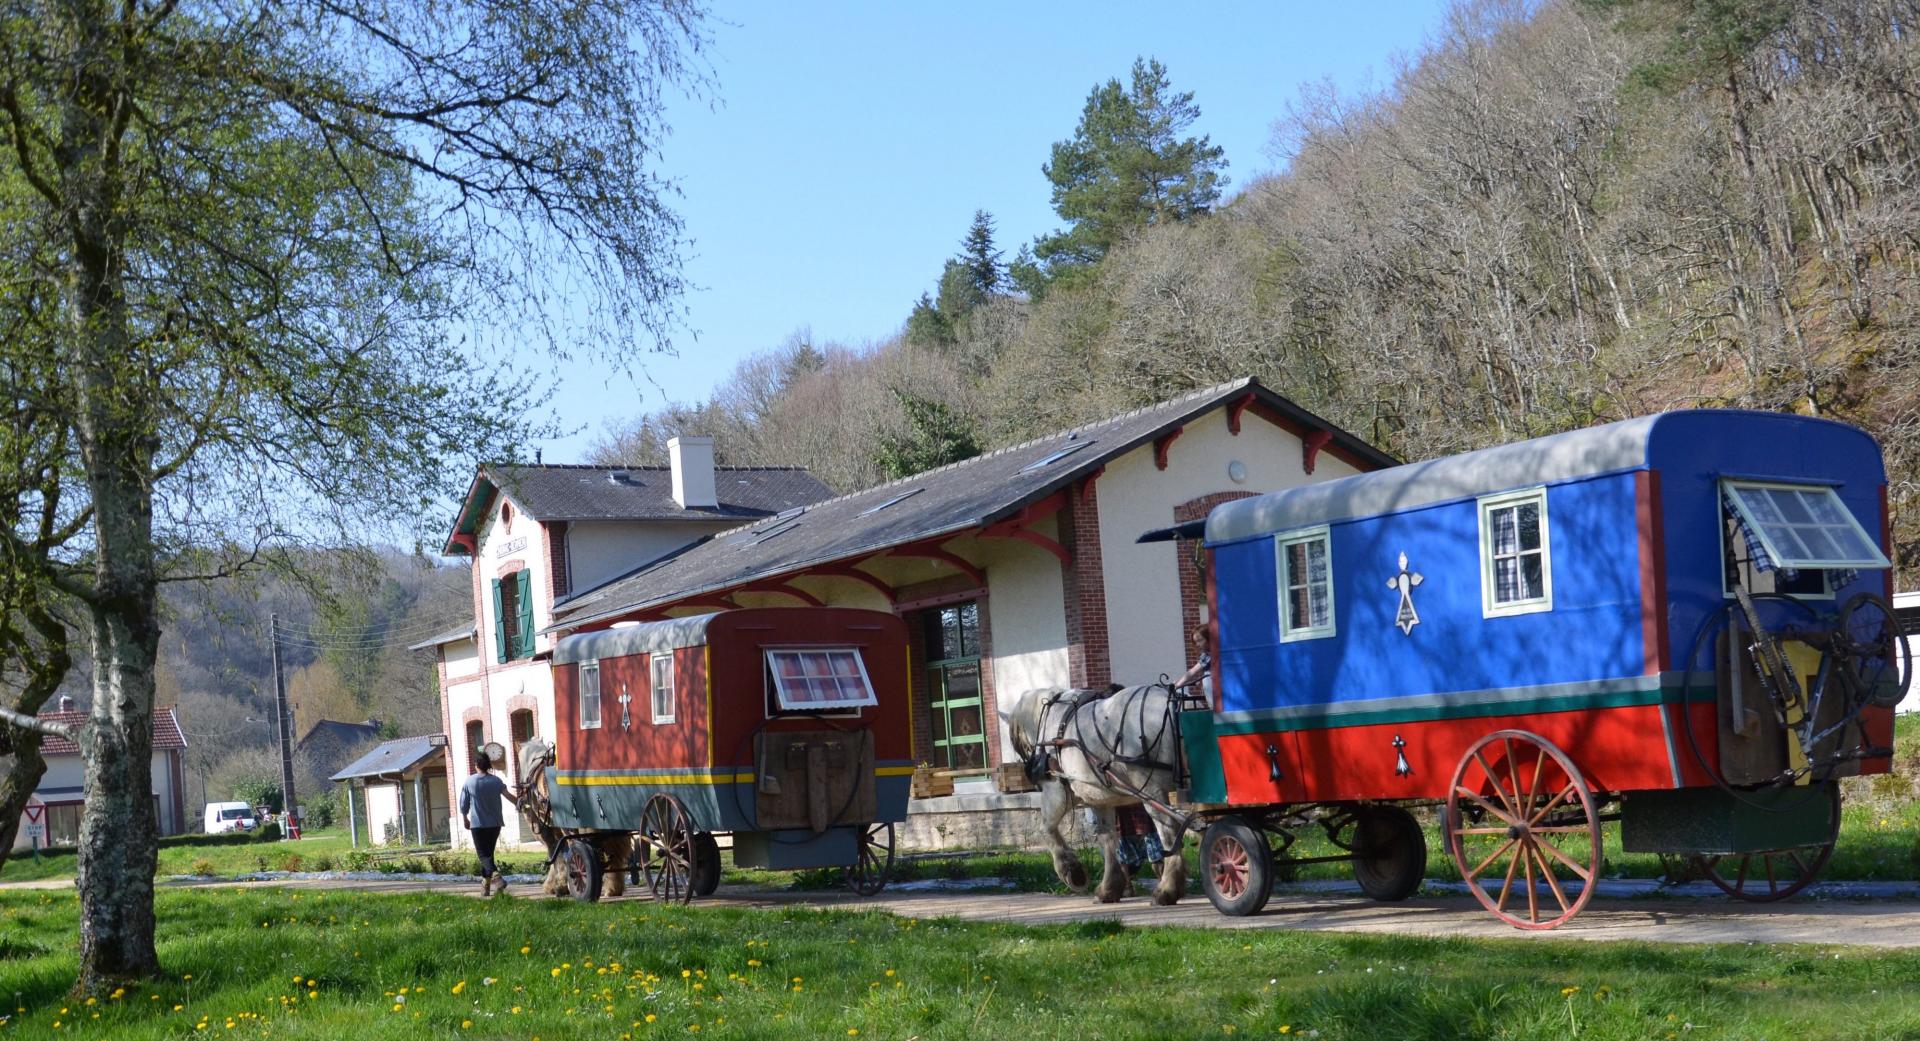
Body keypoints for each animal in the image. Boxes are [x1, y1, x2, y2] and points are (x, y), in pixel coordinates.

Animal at [998, 676, 1190, 906]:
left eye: (1021, 746)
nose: (1032, 772)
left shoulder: (1057, 791)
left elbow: (1047, 827)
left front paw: (1071, 871)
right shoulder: (1099, 797)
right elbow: (1108, 838)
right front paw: (1109, 888)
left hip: (1151, 790)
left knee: (1169, 832)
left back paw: (1167, 889)